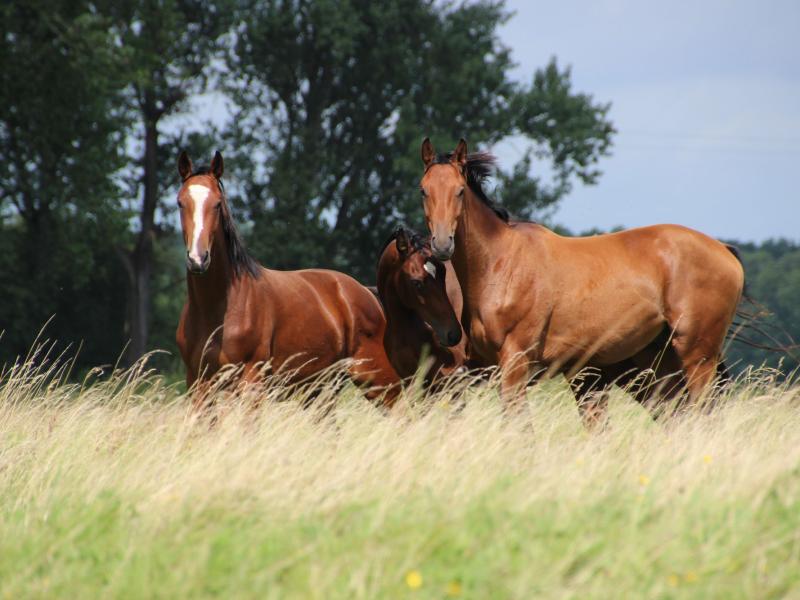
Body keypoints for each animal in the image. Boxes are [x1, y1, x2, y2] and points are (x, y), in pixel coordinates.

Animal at [175, 150, 400, 408]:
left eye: (217, 203)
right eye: (180, 202)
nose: (198, 259)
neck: (218, 309)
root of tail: (366, 293)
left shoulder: (251, 382)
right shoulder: (199, 386)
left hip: (378, 381)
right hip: (323, 388)